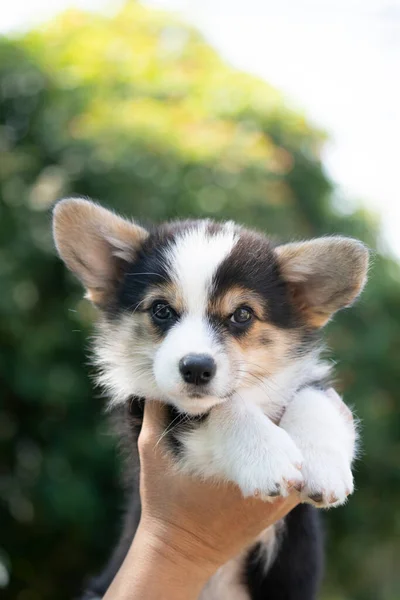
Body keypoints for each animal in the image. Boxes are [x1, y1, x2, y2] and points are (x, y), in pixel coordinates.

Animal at [53, 198, 368, 600]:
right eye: (160, 309)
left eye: (242, 314)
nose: (197, 369)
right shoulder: (152, 410)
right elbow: (222, 407)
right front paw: (267, 456)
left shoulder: (309, 381)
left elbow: (315, 397)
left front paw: (324, 469)